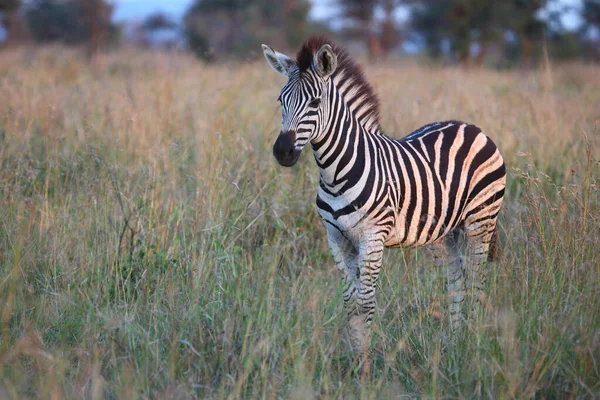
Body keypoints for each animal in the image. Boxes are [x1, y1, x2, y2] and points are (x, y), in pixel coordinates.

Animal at [260, 36, 504, 358]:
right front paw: (353, 357)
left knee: (477, 279)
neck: (335, 173)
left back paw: (472, 344)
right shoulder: (336, 238)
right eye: (280, 101)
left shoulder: (372, 238)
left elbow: (366, 303)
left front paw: (365, 361)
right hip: (445, 232)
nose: (283, 152)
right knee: (456, 280)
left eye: (315, 102)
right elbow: (350, 302)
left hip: (481, 220)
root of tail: (470, 126)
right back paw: (455, 341)